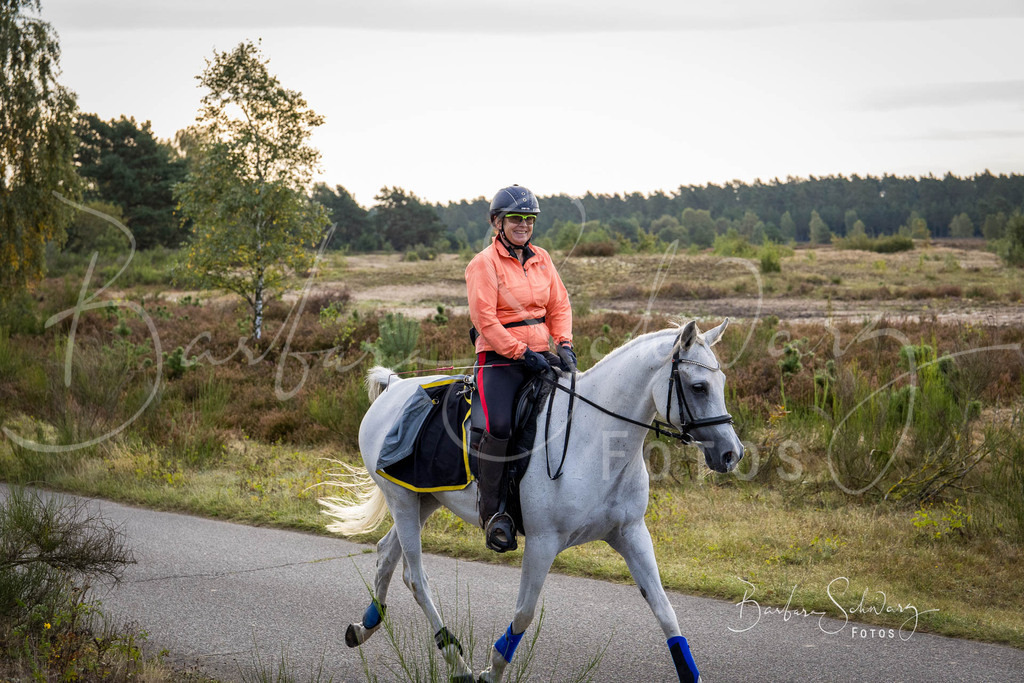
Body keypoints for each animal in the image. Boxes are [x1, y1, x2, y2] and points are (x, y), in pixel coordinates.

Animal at [320, 319, 743, 682]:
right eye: (699, 387)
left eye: (721, 380)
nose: (731, 454)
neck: (596, 441)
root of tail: (393, 388)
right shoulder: (542, 543)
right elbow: (524, 614)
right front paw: (491, 672)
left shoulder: (631, 534)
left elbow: (665, 611)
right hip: (404, 502)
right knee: (417, 578)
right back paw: (457, 662)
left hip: (423, 501)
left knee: (388, 554)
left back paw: (365, 626)